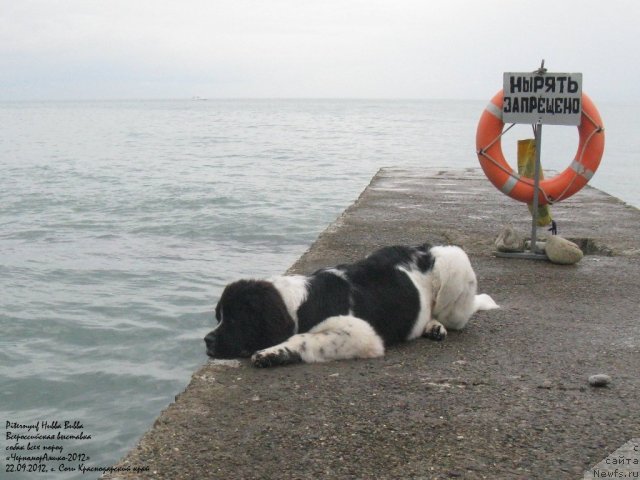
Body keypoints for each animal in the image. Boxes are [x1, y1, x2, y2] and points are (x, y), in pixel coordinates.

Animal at [205, 244, 500, 368]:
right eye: (218, 317)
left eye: (235, 321)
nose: (207, 340)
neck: (300, 306)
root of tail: (425, 249)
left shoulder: (361, 334)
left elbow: (305, 338)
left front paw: (274, 353)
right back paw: (432, 328)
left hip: (456, 264)